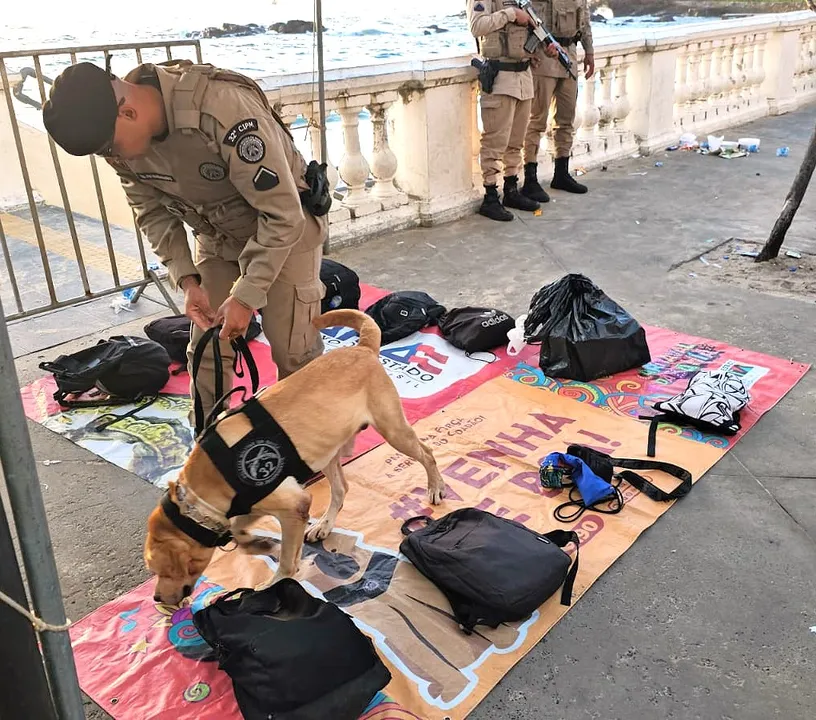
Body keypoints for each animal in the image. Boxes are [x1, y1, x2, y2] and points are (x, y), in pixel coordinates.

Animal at [145, 308, 446, 600]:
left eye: (164, 570)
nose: (157, 598)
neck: (206, 483)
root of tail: (362, 348)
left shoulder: (294, 507)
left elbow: (287, 561)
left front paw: (273, 583)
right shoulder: (255, 504)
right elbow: (239, 532)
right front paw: (259, 543)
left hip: (393, 430)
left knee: (428, 453)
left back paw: (436, 487)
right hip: (326, 449)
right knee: (342, 488)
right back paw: (324, 524)